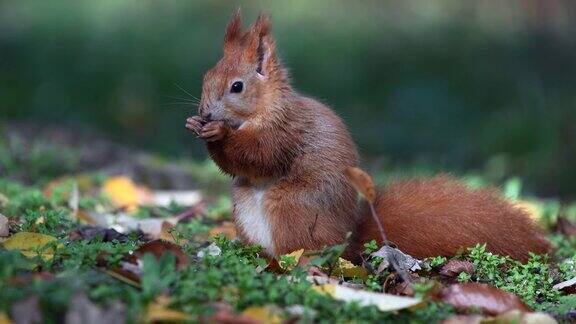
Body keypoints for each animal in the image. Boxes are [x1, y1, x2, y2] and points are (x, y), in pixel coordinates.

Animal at [187, 11, 552, 262]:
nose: (205, 112)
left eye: (237, 86)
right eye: (206, 76)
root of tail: (349, 240)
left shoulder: (286, 131)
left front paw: (217, 133)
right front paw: (196, 124)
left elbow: (260, 155)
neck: (265, 108)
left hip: (292, 209)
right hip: (244, 205)